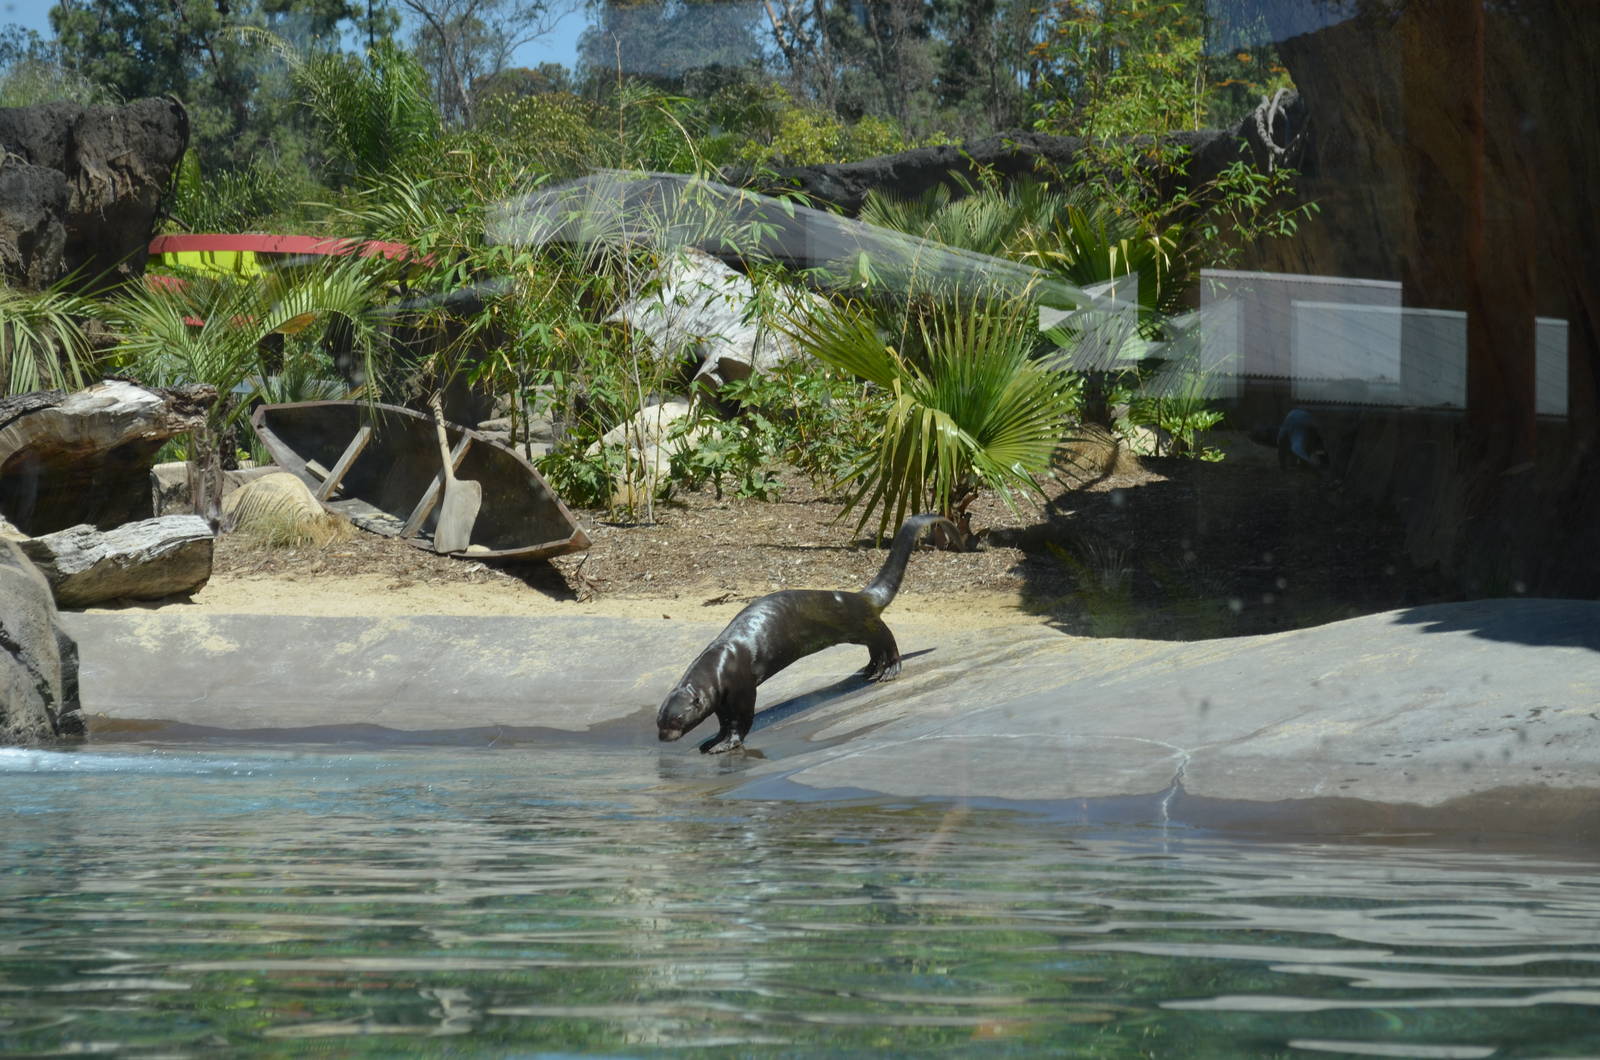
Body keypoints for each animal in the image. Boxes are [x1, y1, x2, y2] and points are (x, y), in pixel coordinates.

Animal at [656, 513, 959, 754]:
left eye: (676, 720)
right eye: (659, 721)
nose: (662, 738)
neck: (720, 663)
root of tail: (859, 597)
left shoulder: (742, 686)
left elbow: (741, 720)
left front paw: (725, 744)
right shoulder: (720, 699)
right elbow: (723, 721)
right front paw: (711, 741)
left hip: (860, 621)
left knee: (887, 637)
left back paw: (891, 669)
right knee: (874, 646)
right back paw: (870, 669)